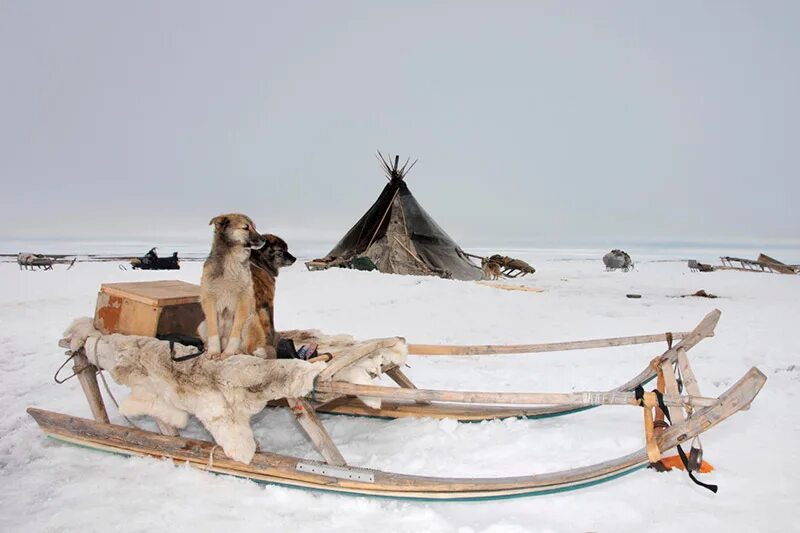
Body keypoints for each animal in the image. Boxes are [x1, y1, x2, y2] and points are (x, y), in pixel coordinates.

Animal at [200, 212, 266, 358]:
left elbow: (235, 332)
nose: (264, 240)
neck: (231, 259)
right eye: (246, 227)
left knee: (248, 349)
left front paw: (229, 352)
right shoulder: (209, 298)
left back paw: (237, 351)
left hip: (250, 322)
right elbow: (213, 331)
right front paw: (213, 351)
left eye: (254, 227)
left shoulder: (243, 300)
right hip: (202, 325)